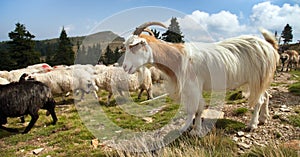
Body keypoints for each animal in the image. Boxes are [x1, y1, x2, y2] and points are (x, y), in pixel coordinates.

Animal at [121, 20, 278, 134]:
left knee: (259, 100)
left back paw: (252, 125)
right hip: (260, 80)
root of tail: (269, 47)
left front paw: (190, 130)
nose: (125, 67)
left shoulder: (192, 87)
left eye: (134, 46)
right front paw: (195, 129)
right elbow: (199, 108)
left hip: (256, 78)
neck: (178, 58)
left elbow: (194, 109)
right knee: (267, 95)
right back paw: (263, 118)